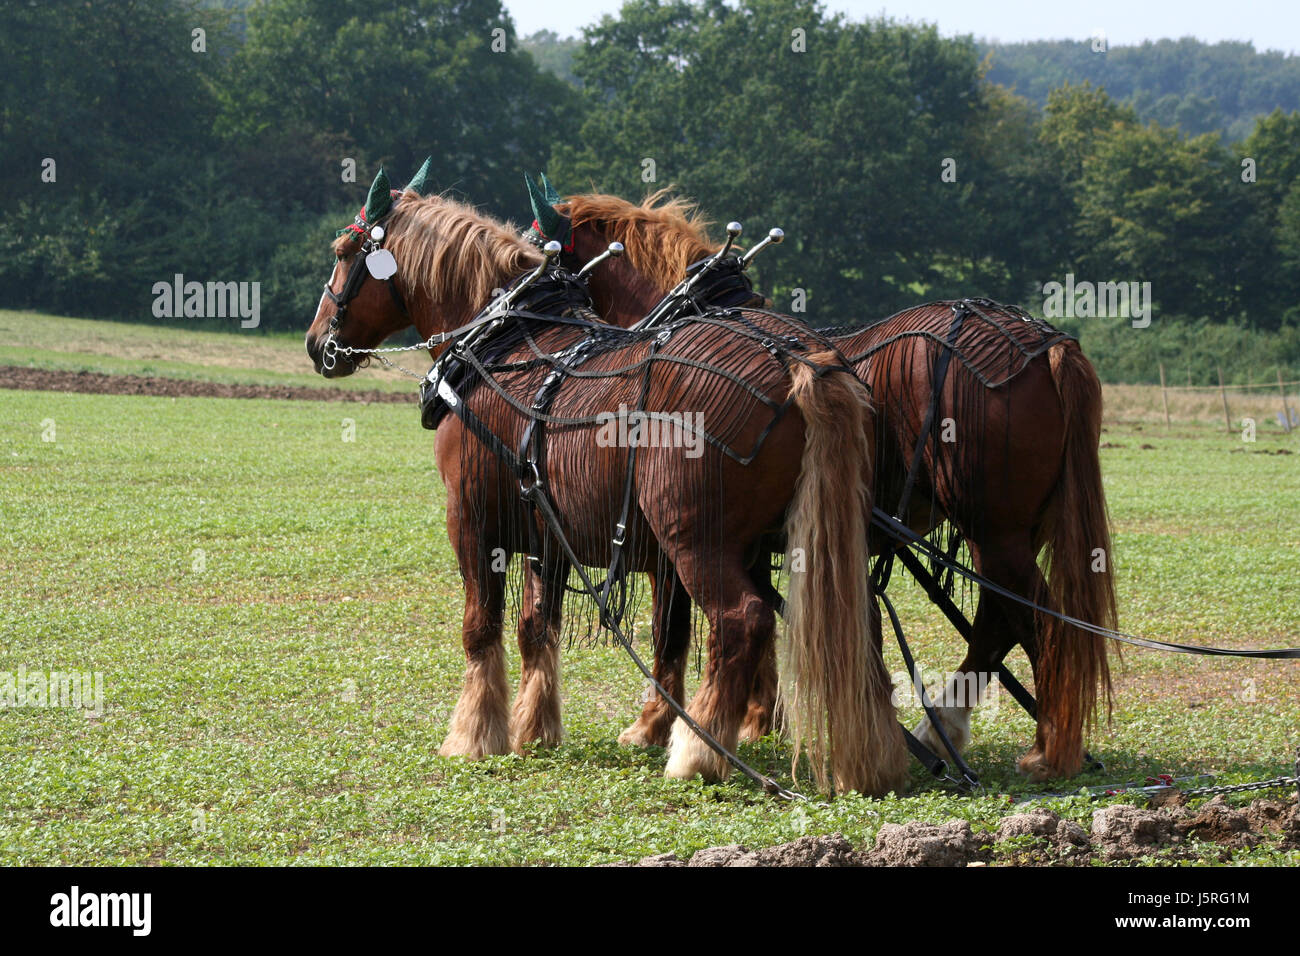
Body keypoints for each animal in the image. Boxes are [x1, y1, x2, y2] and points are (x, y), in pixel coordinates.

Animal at [308, 170, 909, 801]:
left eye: (343, 252)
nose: (317, 341)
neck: (500, 348)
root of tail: (799, 359)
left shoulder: (471, 520)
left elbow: (482, 627)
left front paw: (474, 736)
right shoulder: (548, 532)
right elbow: (538, 628)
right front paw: (535, 727)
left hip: (695, 538)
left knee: (742, 620)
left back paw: (699, 752)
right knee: (856, 620)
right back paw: (873, 753)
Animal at [525, 183, 1118, 780]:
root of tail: (1049, 344)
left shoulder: (680, 536)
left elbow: (673, 629)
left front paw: (660, 726)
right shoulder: (749, 542)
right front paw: (758, 717)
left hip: (995, 531)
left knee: (1038, 622)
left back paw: (1044, 746)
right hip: (1011, 534)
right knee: (1003, 620)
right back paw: (957, 727)